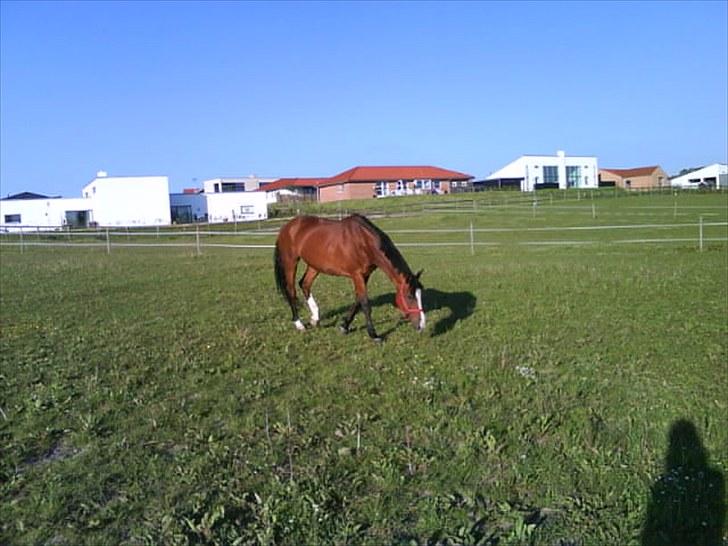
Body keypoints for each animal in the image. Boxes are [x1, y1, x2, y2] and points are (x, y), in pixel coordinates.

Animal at [274, 214, 426, 338]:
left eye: (420, 295)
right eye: (409, 296)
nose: (422, 325)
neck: (364, 241)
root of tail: (288, 226)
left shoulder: (365, 275)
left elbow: (358, 300)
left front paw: (344, 326)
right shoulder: (356, 274)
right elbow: (365, 303)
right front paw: (374, 334)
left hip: (314, 265)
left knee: (305, 284)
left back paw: (315, 319)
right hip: (290, 262)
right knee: (291, 290)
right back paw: (299, 324)